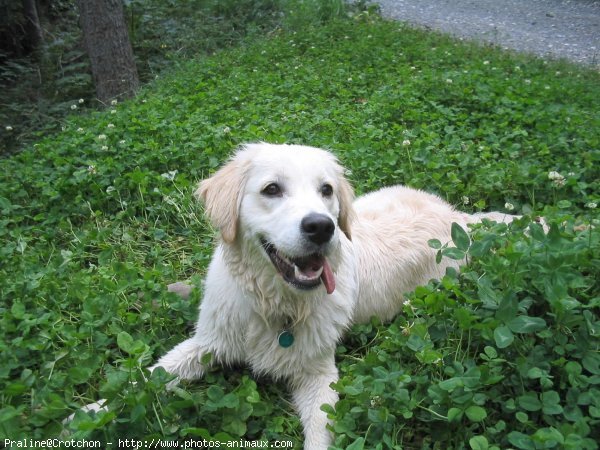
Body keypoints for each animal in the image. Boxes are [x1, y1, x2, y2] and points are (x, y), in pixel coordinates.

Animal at [150, 143, 516, 446]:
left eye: (325, 189)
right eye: (272, 189)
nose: (321, 227)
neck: (275, 304)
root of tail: (459, 216)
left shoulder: (319, 374)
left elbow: (320, 432)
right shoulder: (210, 342)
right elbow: (151, 374)